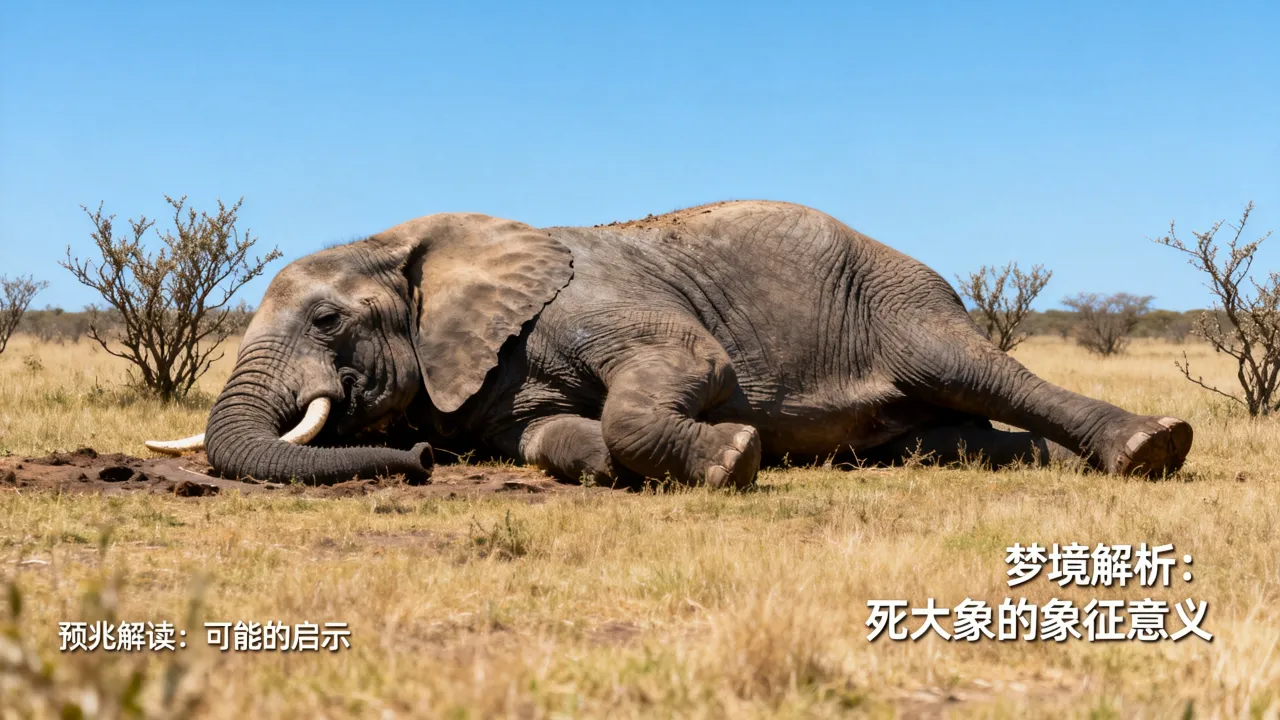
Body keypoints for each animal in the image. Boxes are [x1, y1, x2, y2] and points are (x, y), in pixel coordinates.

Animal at [147, 200, 1193, 487]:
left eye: (328, 321)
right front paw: (619, 463)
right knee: (949, 436)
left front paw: (733, 457)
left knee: (979, 373)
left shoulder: (589, 302)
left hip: (905, 303)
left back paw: (1154, 448)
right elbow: (551, 437)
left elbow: (692, 364)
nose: (420, 458)